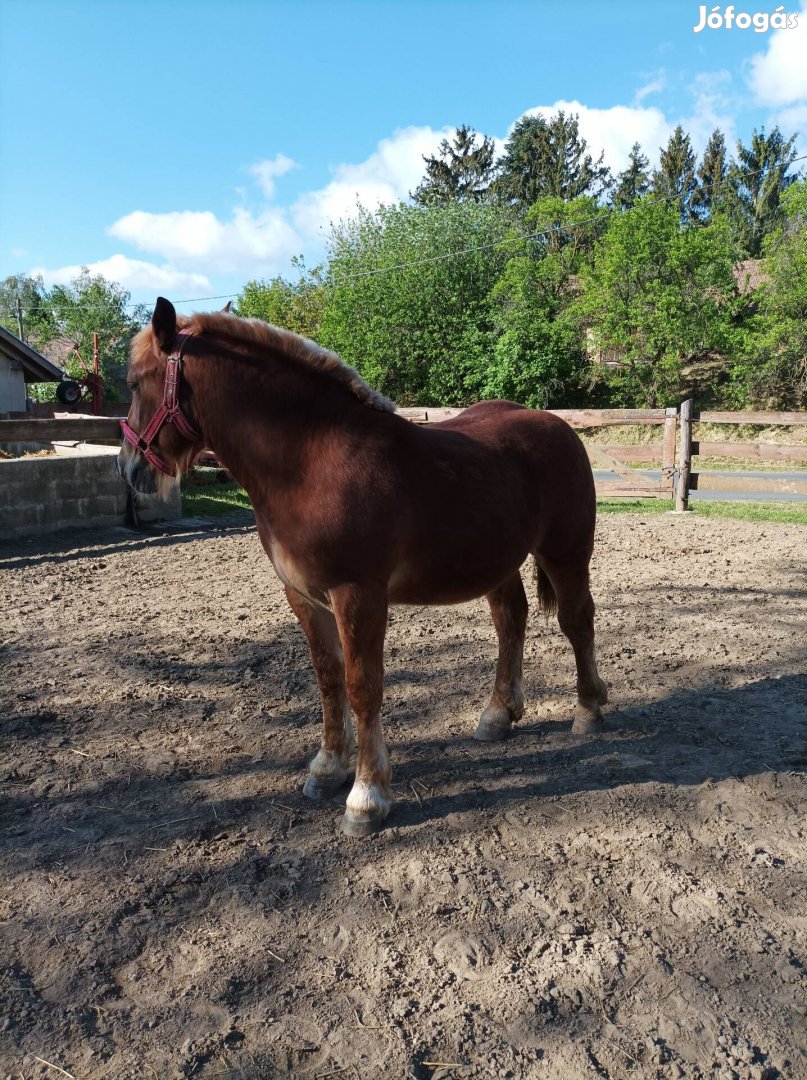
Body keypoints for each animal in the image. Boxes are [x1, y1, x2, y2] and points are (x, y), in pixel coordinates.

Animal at [119, 300, 609, 838]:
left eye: (134, 383)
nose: (129, 468)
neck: (311, 460)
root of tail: (557, 426)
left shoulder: (358, 594)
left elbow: (363, 686)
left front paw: (366, 797)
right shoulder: (303, 596)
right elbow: (329, 680)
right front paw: (327, 769)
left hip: (566, 552)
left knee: (577, 621)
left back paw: (588, 709)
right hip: (496, 560)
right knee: (510, 621)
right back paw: (498, 715)